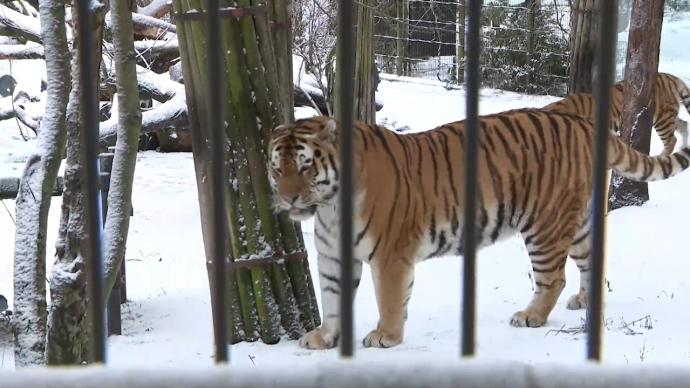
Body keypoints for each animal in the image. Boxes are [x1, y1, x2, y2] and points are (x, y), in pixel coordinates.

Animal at [266, 110, 688, 348]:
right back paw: (584, 301)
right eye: (276, 168)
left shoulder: (390, 255)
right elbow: (333, 300)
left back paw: (531, 316)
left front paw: (386, 336)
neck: (328, 207)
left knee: (553, 278)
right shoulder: (333, 257)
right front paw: (325, 337)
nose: (287, 199)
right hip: (579, 220)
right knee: (590, 259)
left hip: (545, 225)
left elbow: (389, 299)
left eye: (305, 166)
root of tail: (582, 122)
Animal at [544, 73, 688, 155]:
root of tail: (672, 77)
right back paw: (683, 148)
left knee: (671, 140)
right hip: (668, 117)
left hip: (662, 119)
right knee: (684, 124)